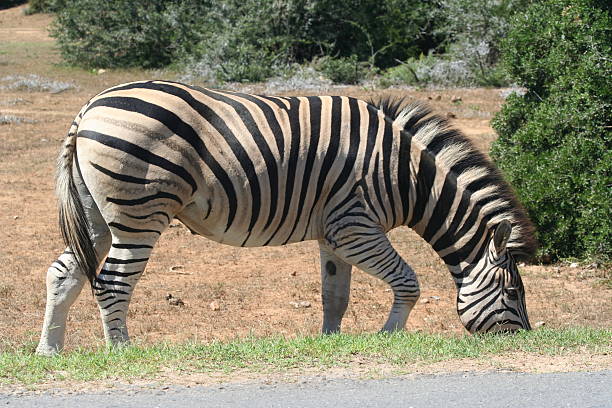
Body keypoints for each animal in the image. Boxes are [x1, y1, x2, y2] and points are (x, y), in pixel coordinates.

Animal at [35, 79, 536, 354]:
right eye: (514, 292)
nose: (526, 340)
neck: (408, 177)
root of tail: (89, 107)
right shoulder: (354, 225)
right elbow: (408, 281)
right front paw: (388, 336)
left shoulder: (334, 232)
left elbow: (335, 296)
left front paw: (330, 342)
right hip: (139, 211)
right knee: (112, 282)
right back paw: (121, 351)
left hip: (96, 213)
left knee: (64, 272)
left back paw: (49, 350)